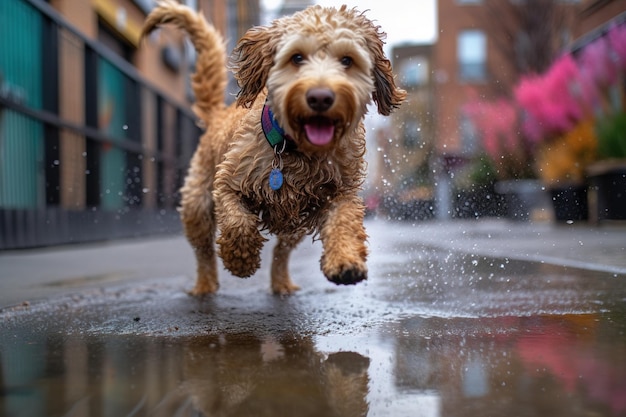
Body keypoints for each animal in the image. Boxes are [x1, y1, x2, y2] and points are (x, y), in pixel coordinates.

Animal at [141, 1, 404, 294]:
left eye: (347, 60)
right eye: (297, 57)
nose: (320, 97)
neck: (297, 151)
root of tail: (219, 115)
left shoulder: (339, 194)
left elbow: (344, 221)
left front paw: (345, 261)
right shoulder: (228, 183)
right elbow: (238, 222)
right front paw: (240, 261)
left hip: (294, 226)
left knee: (281, 253)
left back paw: (282, 283)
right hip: (196, 204)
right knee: (203, 252)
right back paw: (205, 285)